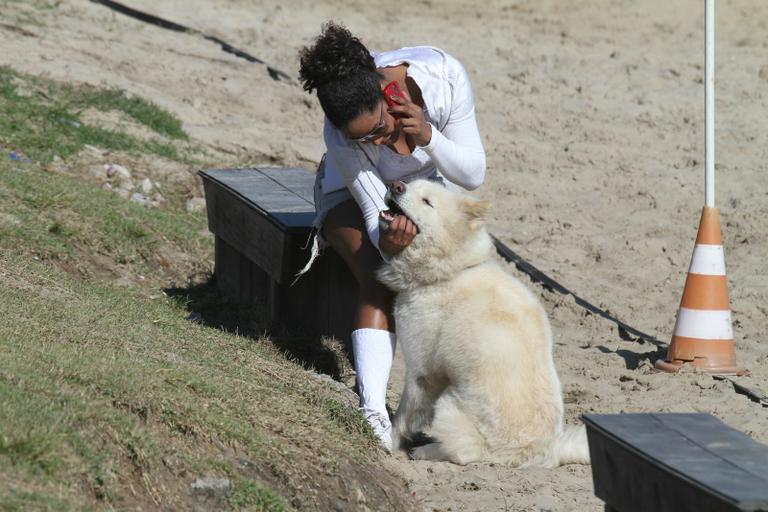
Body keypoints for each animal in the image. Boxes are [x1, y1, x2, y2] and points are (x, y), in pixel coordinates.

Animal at [376, 180, 588, 468]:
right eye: (410, 185)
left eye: (427, 201)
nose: (395, 185)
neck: (451, 271)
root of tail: (542, 449)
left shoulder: (423, 372)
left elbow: (403, 417)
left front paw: (389, 441)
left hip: (449, 404)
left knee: (468, 452)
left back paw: (426, 451)